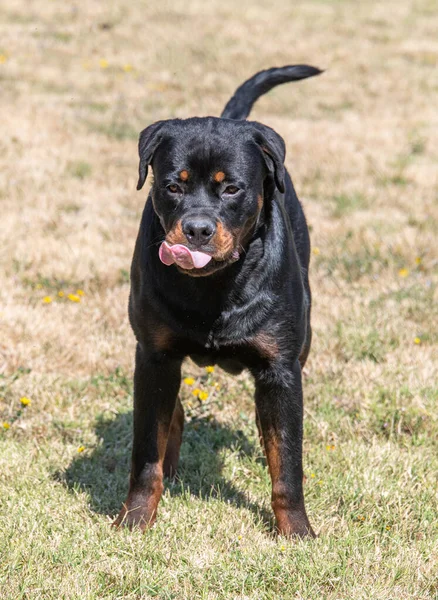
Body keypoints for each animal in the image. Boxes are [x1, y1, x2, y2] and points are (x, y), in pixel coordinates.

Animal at [114, 65, 322, 540]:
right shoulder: (153, 355)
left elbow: (287, 461)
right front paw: (135, 518)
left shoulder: (280, 369)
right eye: (173, 186)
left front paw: (296, 533)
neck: (215, 288)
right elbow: (146, 451)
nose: (196, 228)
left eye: (231, 190)